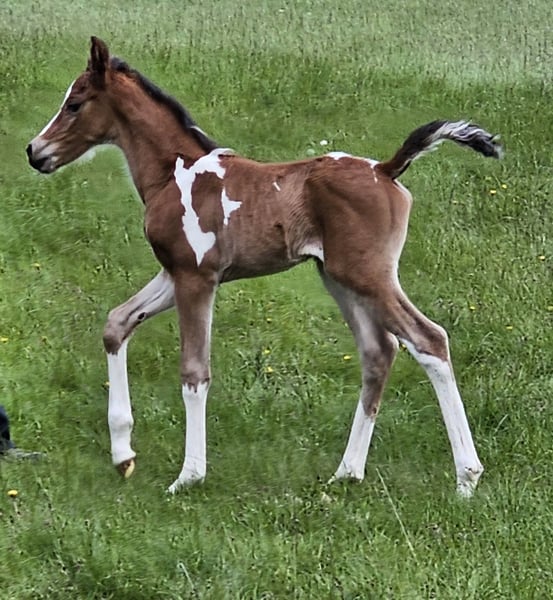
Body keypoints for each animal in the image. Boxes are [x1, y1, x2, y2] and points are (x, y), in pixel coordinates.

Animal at [26, 37, 502, 496]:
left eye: (75, 103)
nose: (35, 152)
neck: (174, 174)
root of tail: (386, 170)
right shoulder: (174, 273)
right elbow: (117, 323)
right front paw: (123, 454)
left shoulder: (196, 278)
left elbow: (194, 371)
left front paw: (189, 476)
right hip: (338, 278)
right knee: (378, 351)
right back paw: (347, 472)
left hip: (368, 276)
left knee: (429, 340)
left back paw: (466, 477)